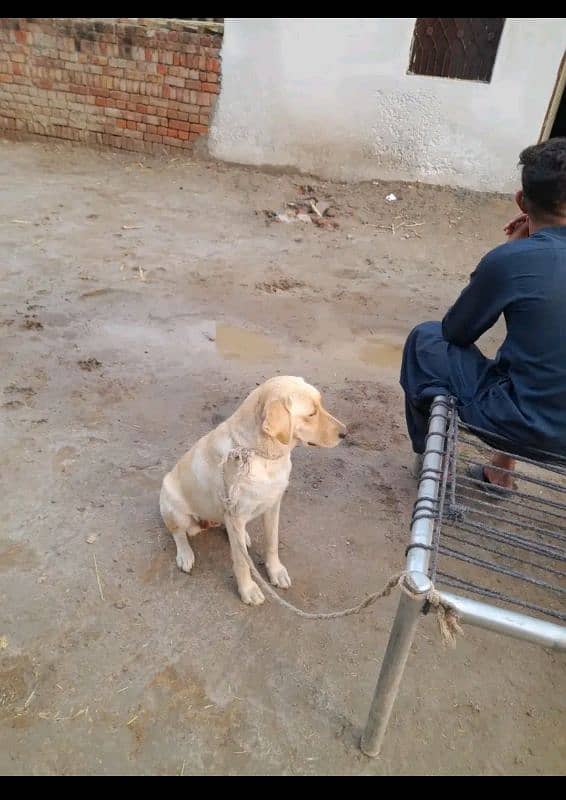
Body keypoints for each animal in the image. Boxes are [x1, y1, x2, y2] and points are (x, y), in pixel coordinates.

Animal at [159, 378, 346, 604]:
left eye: (321, 404)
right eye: (311, 413)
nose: (346, 433)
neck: (261, 455)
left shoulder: (273, 505)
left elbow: (272, 542)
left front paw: (275, 571)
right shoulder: (237, 515)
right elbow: (241, 562)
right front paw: (248, 590)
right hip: (173, 503)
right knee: (178, 533)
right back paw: (185, 554)